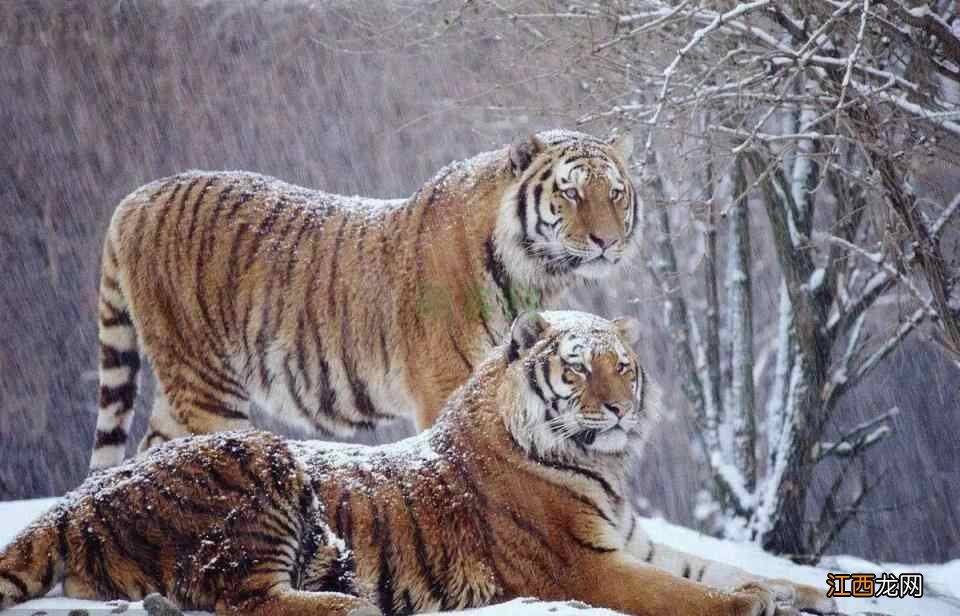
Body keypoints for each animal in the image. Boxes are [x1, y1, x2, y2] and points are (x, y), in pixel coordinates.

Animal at [3, 312, 832, 616]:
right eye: (578, 369)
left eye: (624, 368)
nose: (623, 409)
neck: (602, 467)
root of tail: (82, 497)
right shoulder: (585, 566)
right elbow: (682, 594)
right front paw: (748, 605)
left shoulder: (633, 542)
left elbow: (718, 568)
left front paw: (797, 592)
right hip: (254, 465)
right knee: (243, 599)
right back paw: (349, 607)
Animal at [94, 129, 640, 466]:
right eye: (570, 192)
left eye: (615, 192)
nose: (607, 241)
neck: (534, 274)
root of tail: (135, 199)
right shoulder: (444, 386)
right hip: (205, 383)